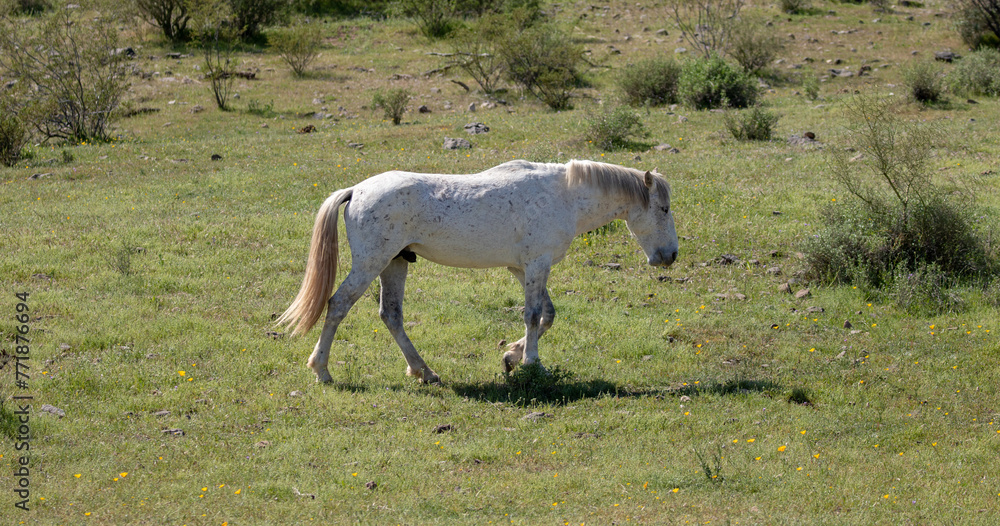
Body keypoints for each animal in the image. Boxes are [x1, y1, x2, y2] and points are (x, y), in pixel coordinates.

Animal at [277, 159, 678, 384]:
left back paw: (424, 372)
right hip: (370, 263)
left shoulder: (522, 267)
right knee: (338, 305)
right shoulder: (537, 264)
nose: (670, 255)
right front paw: (532, 365)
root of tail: (356, 190)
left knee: (391, 315)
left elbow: (547, 315)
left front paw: (511, 357)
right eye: (663, 208)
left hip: (395, 263)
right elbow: (533, 315)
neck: (563, 196)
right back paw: (322, 371)